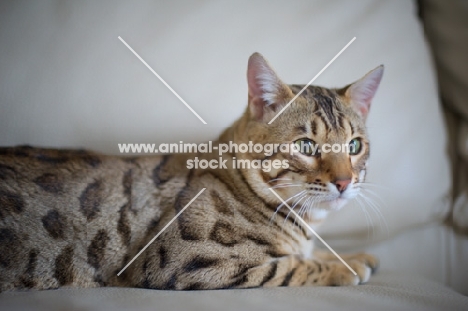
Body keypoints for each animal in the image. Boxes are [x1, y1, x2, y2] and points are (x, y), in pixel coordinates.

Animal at [0, 52, 384, 292]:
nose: (344, 182)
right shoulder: (188, 261)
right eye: (305, 146)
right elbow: (291, 266)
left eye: (354, 146)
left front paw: (352, 255)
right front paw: (345, 267)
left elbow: (308, 255)